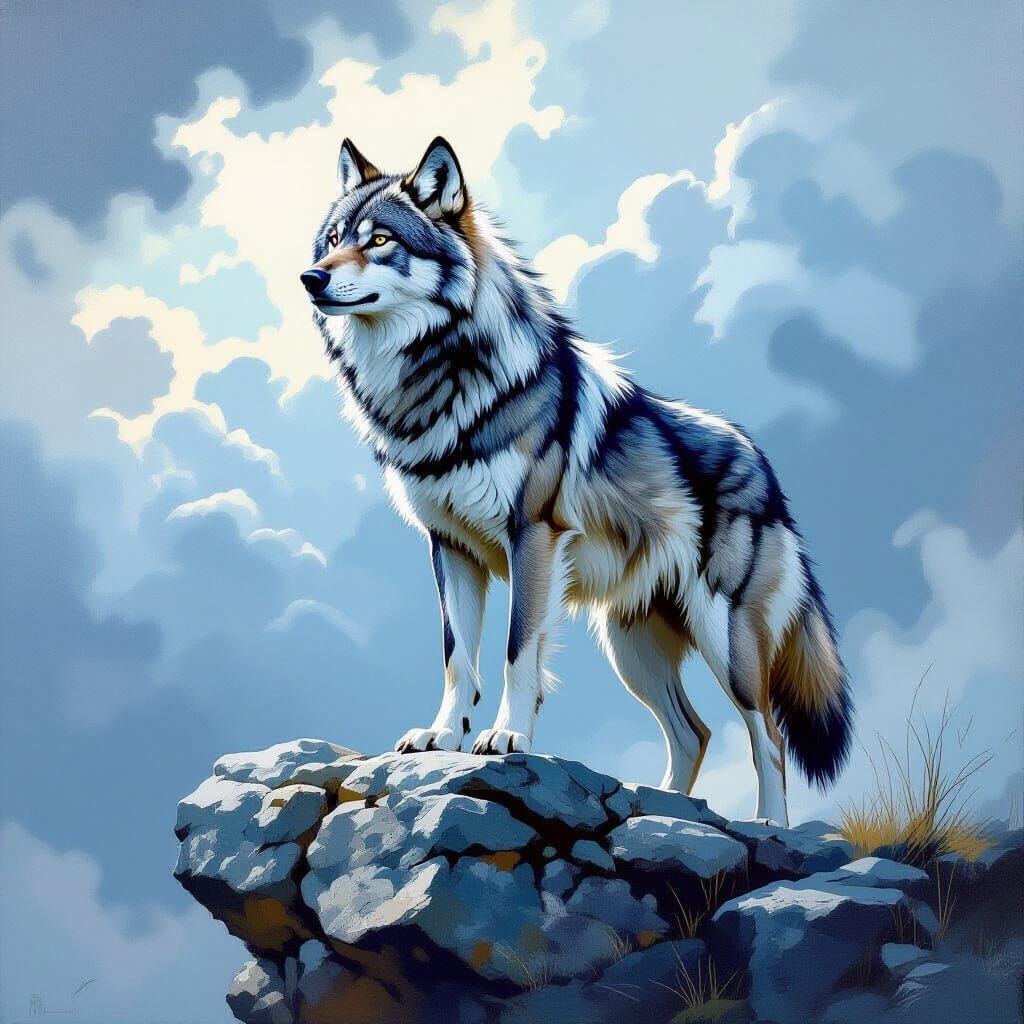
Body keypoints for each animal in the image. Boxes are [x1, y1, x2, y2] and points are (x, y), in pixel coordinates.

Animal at [302, 137, 852, 825]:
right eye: (331, 241)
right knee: (693, 732)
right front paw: (442, 735)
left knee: (767, 736)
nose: (311, 278)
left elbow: (516, 652)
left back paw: (769, 826)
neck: (439, 382)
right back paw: (668, 812)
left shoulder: (532, 537)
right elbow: (458, 656)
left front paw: (507, 736)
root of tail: (764, 464)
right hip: (631, 647)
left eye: (379, 240)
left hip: (725, 640)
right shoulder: (449, 547)